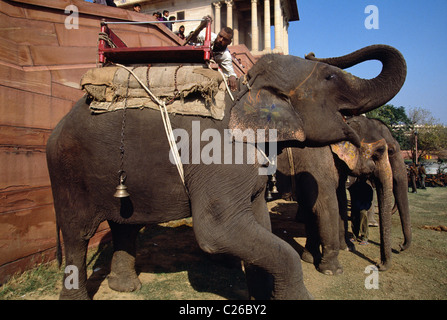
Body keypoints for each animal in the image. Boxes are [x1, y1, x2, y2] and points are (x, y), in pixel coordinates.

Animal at [274, 115, 412, 276]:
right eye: (387, 150)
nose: (379, 265)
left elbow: (320, 205)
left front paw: (311, 258)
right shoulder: (316, 163)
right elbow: (327, 207)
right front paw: (333, 270)